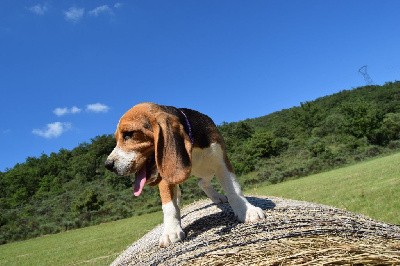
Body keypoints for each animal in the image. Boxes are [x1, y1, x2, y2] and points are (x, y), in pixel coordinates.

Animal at [104, 102, 264, 247]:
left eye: (129, 134)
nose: (108, 165)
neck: (192, 146)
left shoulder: (221, 162)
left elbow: (234, 190)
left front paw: (246, 210)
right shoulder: (165, 176)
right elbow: (169, 206)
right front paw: (171, 230)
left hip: (208, 170)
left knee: (202, 182)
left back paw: (217, 197)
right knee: (186, 192)